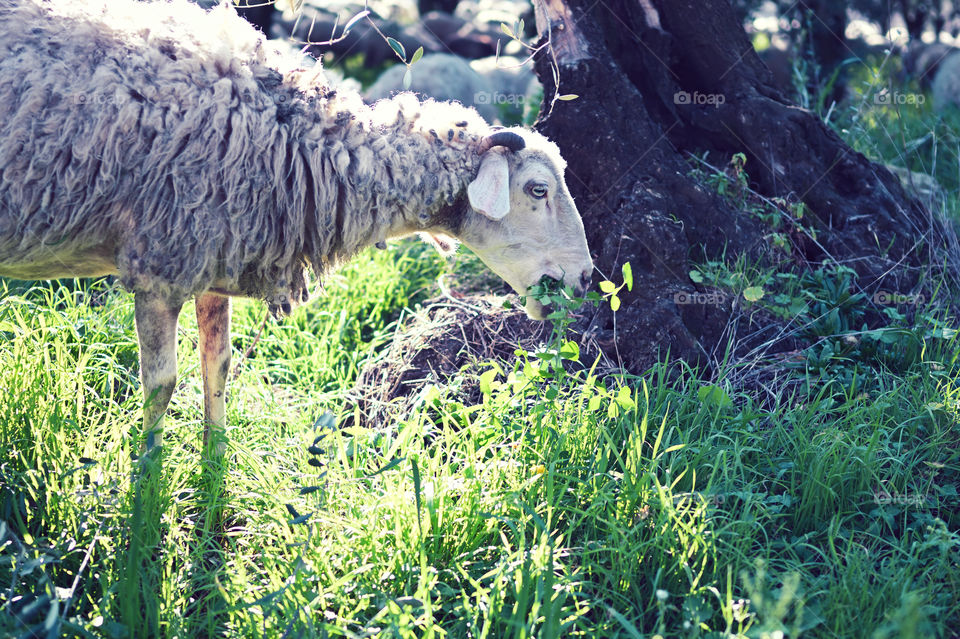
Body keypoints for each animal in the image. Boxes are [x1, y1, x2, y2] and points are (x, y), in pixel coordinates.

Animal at [0, 0, 592, 460]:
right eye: (538, 190)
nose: (587, 277)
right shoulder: (160, 262)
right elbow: (160, 387)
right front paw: (147, 495)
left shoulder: (216, 255)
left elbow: (219, 366)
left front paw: (215, 470)